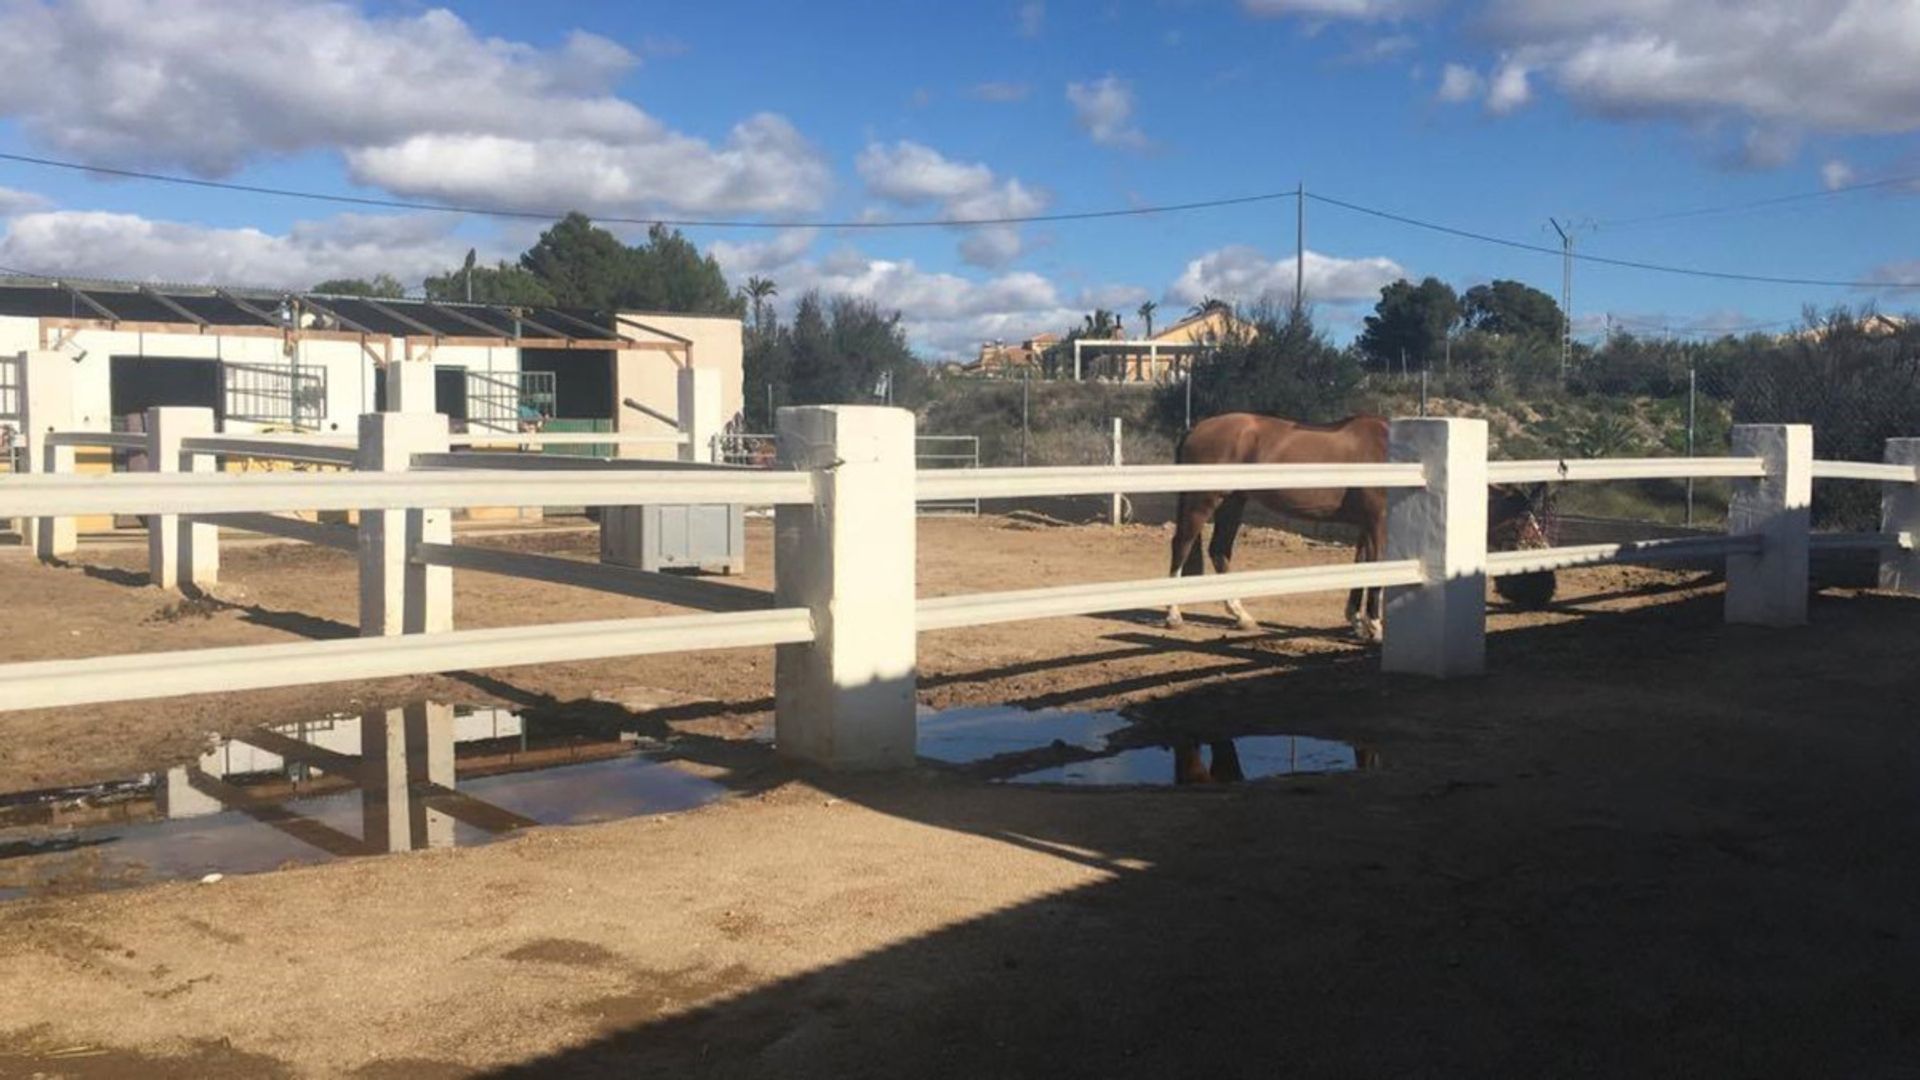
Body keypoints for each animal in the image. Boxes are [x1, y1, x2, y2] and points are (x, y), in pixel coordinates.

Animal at [1159, 407, 1551, 634]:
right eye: (1521, 522)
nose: (1544, 584)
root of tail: (1196, 427)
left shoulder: (1365, 526)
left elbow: (1362, 565)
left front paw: (1355, 619)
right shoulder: (1378, 523)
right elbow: (1376, 569)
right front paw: (1374, 625)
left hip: (1234, 502)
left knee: (1220, 550)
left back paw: (1240, 615)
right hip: (1203, 501)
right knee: (1182, 545)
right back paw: (1174, 614)